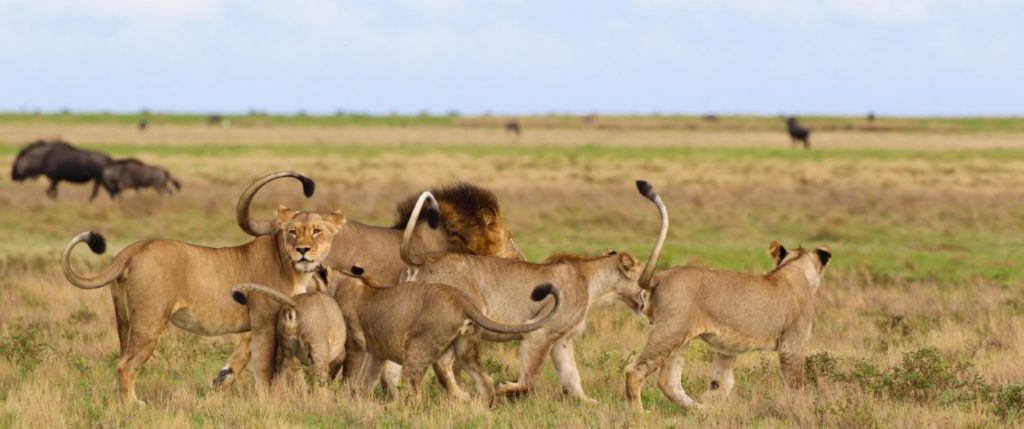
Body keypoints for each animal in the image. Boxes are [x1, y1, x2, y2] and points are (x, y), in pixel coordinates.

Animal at [62, 206, 344, 405]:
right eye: (293, 231)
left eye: (317, 230)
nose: (302, 250)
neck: (291, 266)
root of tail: (137, 247)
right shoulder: (265, 319)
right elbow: (264, 367)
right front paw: (269, 401)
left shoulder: (258, 323)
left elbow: (245, 353)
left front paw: (222, 380)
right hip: (149, 322)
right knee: (126, 366)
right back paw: (133, 406)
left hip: (124, 320)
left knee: (122, 358)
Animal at [325, 266, 561, 405]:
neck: (344, 281)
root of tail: (460, 299)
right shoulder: (377, 353)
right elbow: (368, 380)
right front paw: (361, 402)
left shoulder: (355, 343)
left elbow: (350, 375)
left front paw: (345, 399)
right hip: (465, 349)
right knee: (484, 380)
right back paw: (478, 406)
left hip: (418, 348)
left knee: (414, 390)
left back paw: (402, 411)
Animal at [397, 191, 647, 403]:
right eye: (647, 278)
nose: (648, 304)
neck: (593, 281)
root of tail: (422, 260)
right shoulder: (541, 332)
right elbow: (530, 378)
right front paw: (504, 389)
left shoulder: (562, 340)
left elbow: (572, 375)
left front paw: (587, 402)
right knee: (440, 362)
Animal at [622, 180, 831, 411]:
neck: (793, 268)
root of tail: (661, 275)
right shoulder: (792, 345)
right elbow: (796, 387)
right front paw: (803, 411)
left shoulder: (728, 349)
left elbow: (721, 383)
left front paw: (712, 405)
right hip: (669, 331)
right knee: (635, 371)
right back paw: (639, 413)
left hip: (679, 336)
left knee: (668, 381)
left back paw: (698, 410)